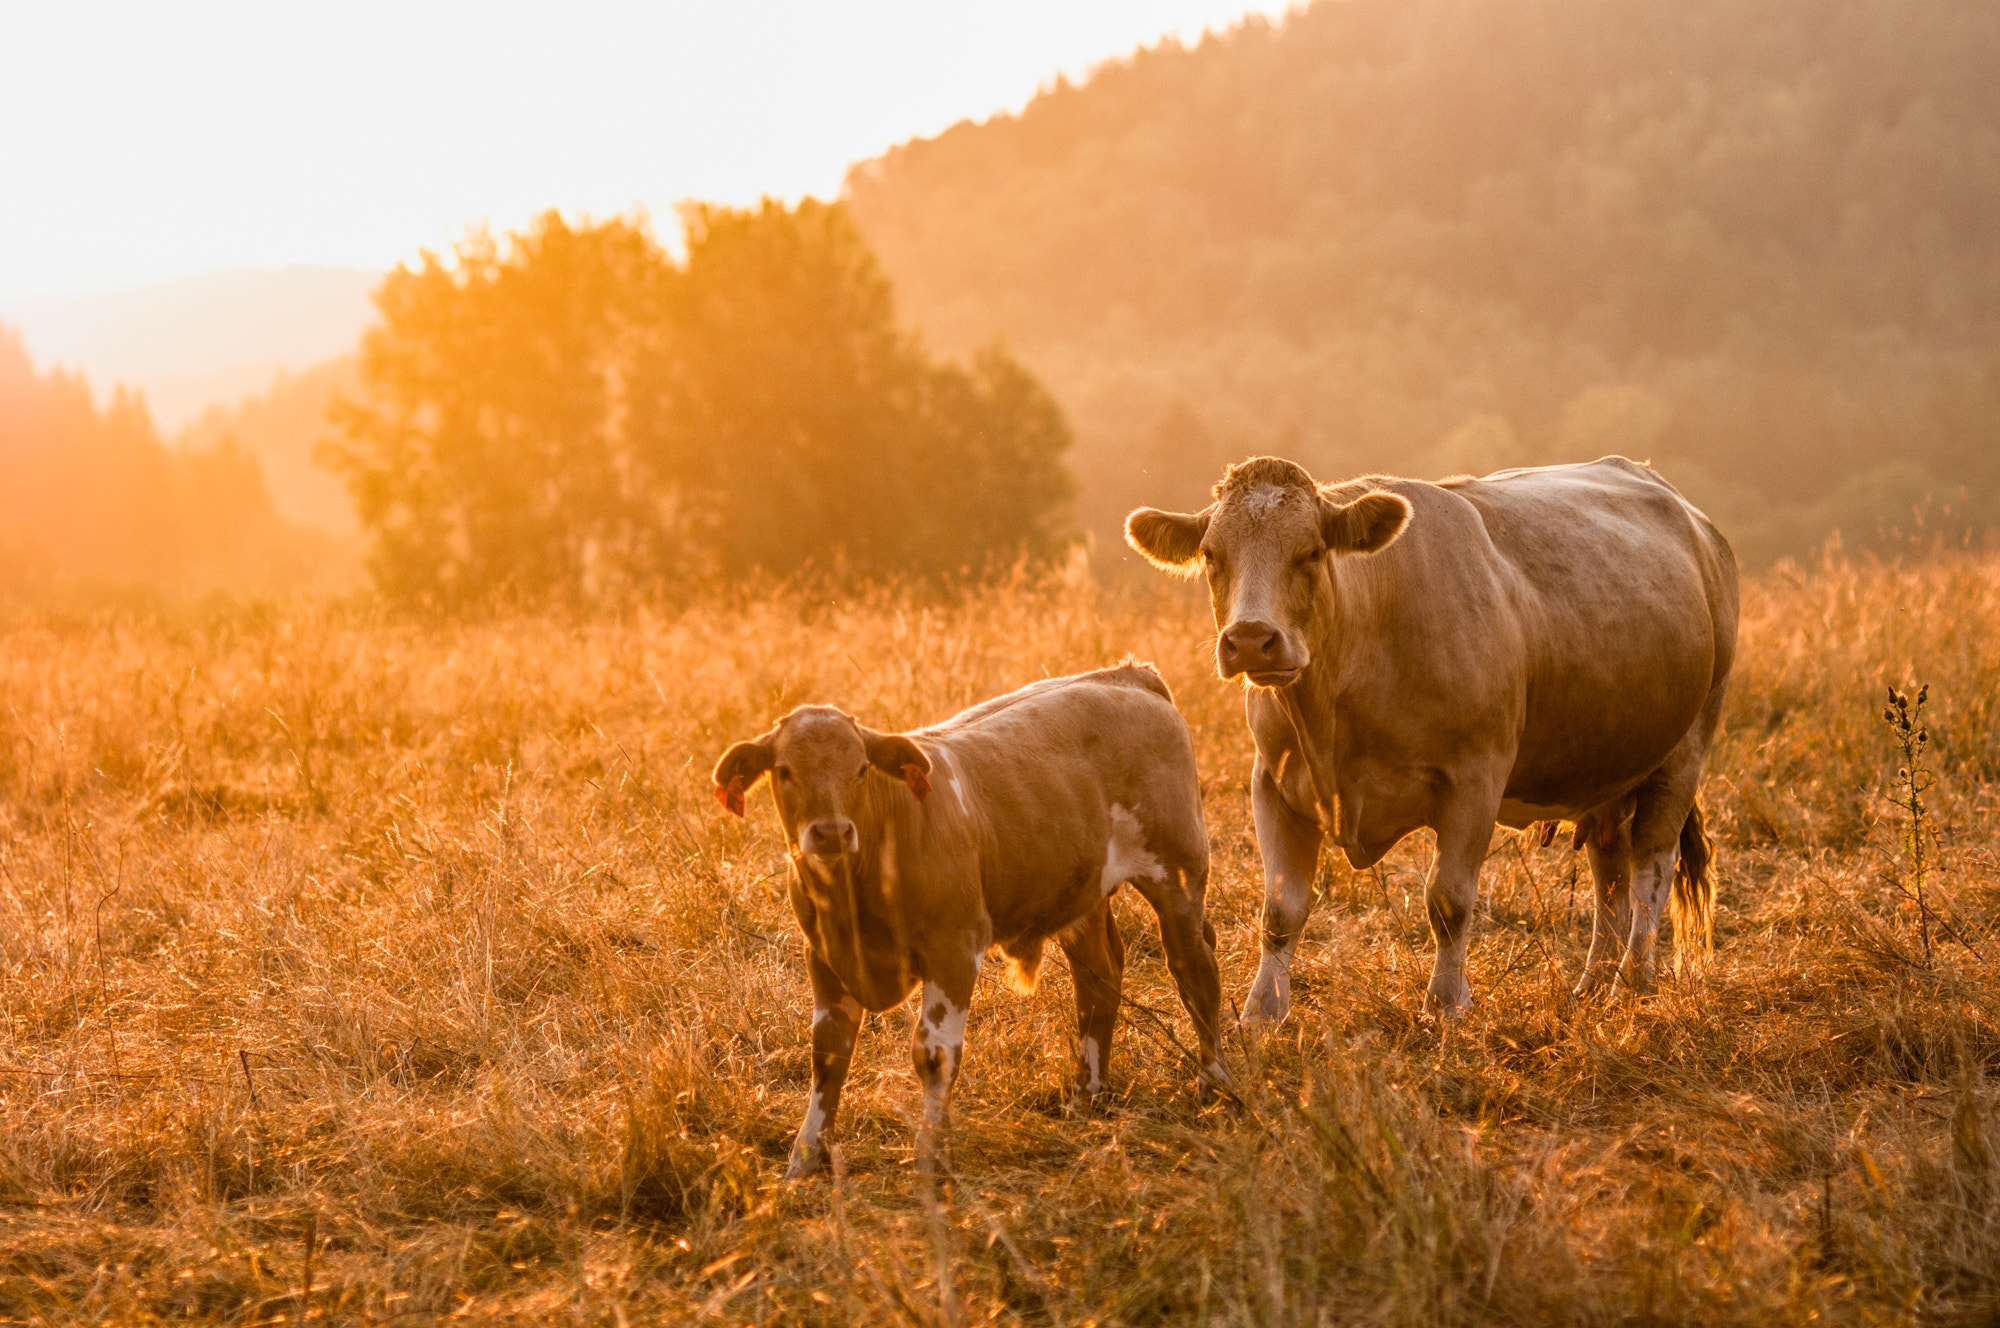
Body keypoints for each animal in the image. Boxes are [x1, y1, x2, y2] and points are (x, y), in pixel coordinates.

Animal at [712, 668, 1224, 1176]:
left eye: (860, 769)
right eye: (784, 771)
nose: (832, 832)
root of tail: (1128, 676)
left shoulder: (954, 949)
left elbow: (934, 1055)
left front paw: (929, 1154)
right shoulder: (823, 956)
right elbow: (828, 1054)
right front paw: (803, 1160)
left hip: (1178, 874)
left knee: (1194, 972)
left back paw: (1216, 1086)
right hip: (1080, 895)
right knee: (1098, 981)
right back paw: (1087, 1097)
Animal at [1128, 454, 1736, 1016]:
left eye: (1312, 552)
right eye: (1212, 555)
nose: (1253, 639)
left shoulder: (1476, 778)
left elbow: (1448, 900)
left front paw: (1445, 1004)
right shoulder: (1274, 782)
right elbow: (1280, 909)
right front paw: (1261, 1014)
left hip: (1685, 750)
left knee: (1651, 868)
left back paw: (1632, 983)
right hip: (1602, 765)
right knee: (1609, 873)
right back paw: (1593, 985)